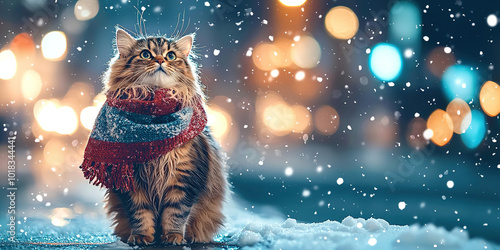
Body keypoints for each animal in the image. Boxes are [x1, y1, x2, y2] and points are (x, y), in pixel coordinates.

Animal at [99, 28, 227, 245]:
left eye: (171, 56)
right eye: (145, 54)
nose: (160, 60)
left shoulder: (183, 178)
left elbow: (176, 213)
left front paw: (173, 237)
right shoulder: (131, 182)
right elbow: (140, 214)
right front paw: (141, 237)